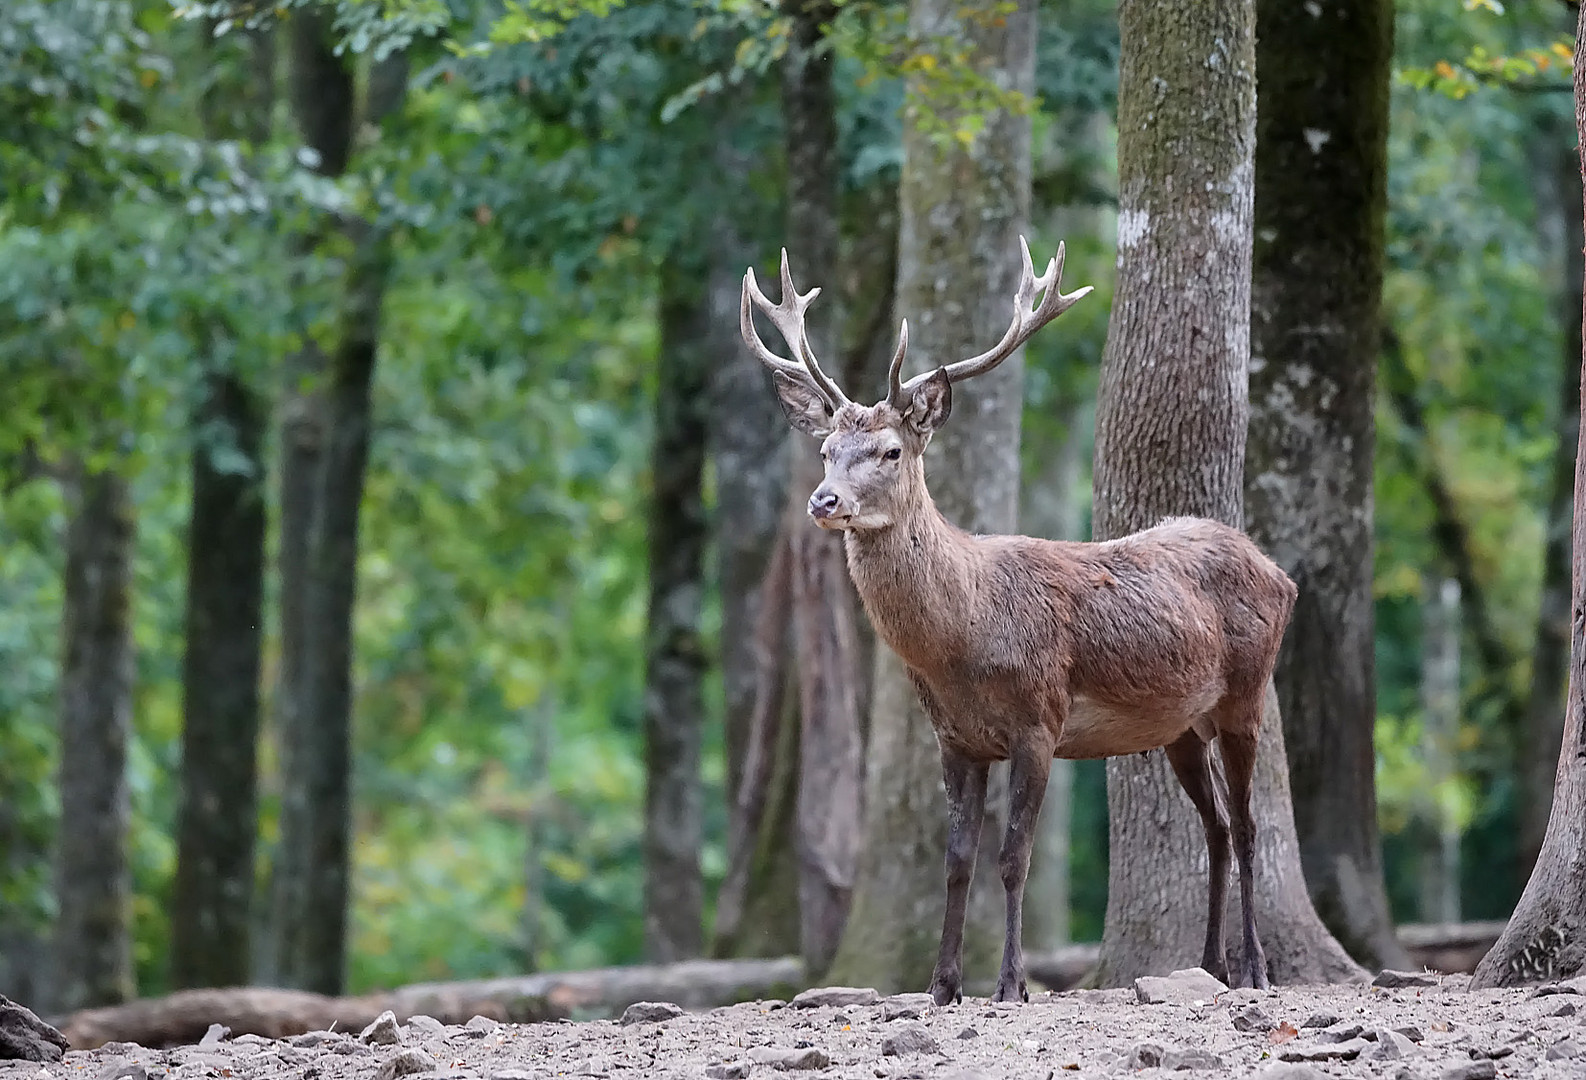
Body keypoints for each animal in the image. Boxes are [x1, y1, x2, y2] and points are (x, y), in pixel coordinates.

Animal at [735, 236, 1294, 1002]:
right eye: (826, 450)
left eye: (891, 450)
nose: (824, 500)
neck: (961, 640)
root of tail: (1280, 572)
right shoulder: (954, 738)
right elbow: (957, 860)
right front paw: (942, 985)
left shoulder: (1040, 719)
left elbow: (1013, 856)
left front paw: (1010, 984)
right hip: (1183, 724)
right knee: (1211, 826)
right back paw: (1208, 965)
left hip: (1246, 691)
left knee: (1246, 825)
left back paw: (1256, 969)